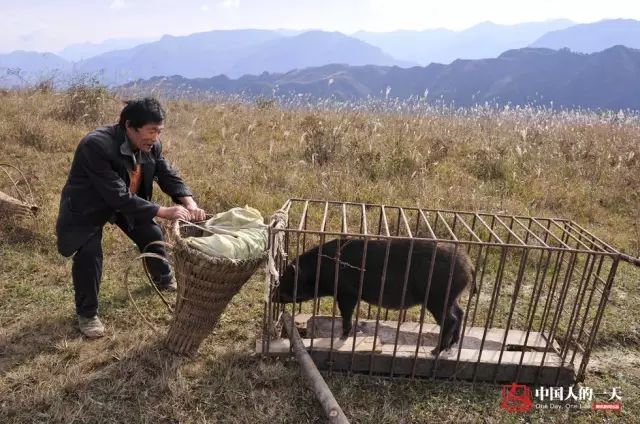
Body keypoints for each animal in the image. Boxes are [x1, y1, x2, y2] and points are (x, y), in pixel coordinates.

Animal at [276, 238, 476, 354]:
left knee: (450, 319)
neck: (320, 271)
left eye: (285, 278)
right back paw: (452, 345)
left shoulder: (346, 292)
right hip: (450, 298)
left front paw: (343, 336)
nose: (272, 295)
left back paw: (435, 351)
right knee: (460, 313)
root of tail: (469, 265)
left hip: (438, 297)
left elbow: (346, 313)